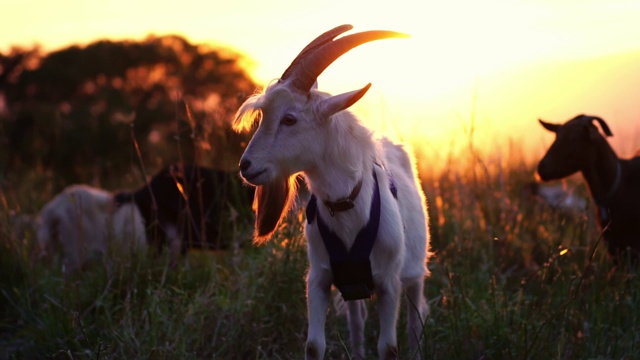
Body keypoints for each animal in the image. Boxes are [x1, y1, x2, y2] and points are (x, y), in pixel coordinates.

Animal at [232, 23, 432, 358]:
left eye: (289, 118)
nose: (246, 166)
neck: (348, 208)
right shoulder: (320, 279)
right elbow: (314, 345)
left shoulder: (389, 284)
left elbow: (389, 347)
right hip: (353, 286)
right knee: (357, 322)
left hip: (414, 274)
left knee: (416, 325)